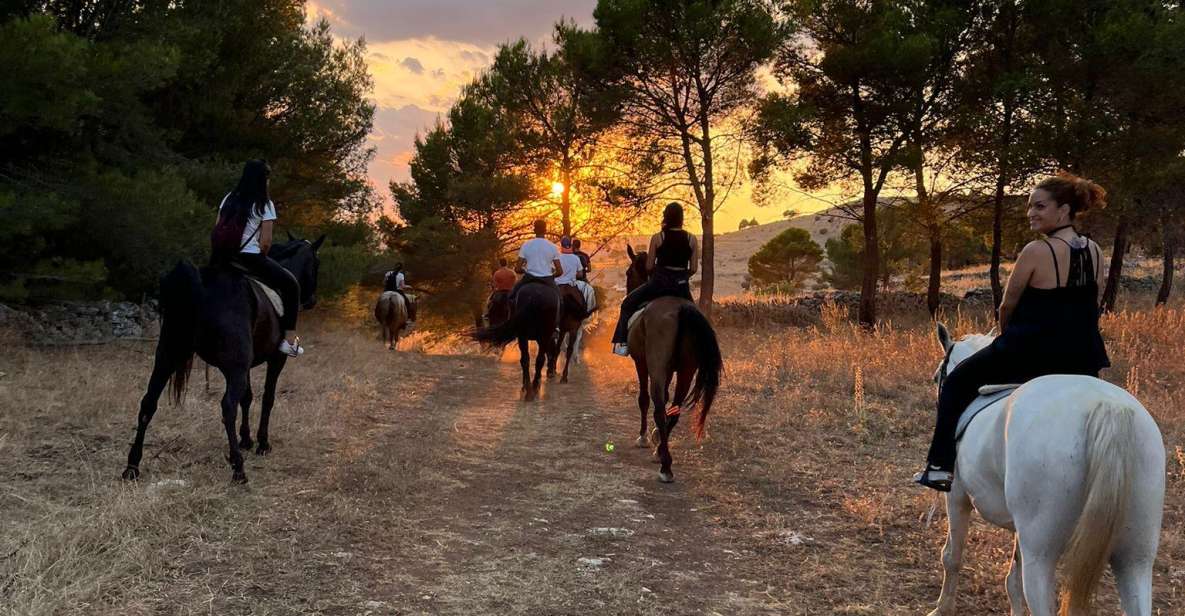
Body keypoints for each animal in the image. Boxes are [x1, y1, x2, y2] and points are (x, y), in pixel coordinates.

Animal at [620, 244, 720, 480]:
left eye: (628, 273)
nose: (627, 291)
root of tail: (681, 309)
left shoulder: (642, 363)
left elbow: (644, 399)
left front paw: (644, 437)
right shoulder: (669, 370)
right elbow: (666, 398)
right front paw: (657, 436)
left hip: (657, 367)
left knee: (657, 406)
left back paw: (665, 465)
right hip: (686, 371)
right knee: (675, 408)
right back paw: (661, 452)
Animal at [929, 324, 1161, 611]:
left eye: (938, 377)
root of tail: (1109, 409)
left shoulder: (957, 496)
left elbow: (952, 556)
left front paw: (941, 608)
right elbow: (1012, 581)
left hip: (1040, 556)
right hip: (1136, 559)